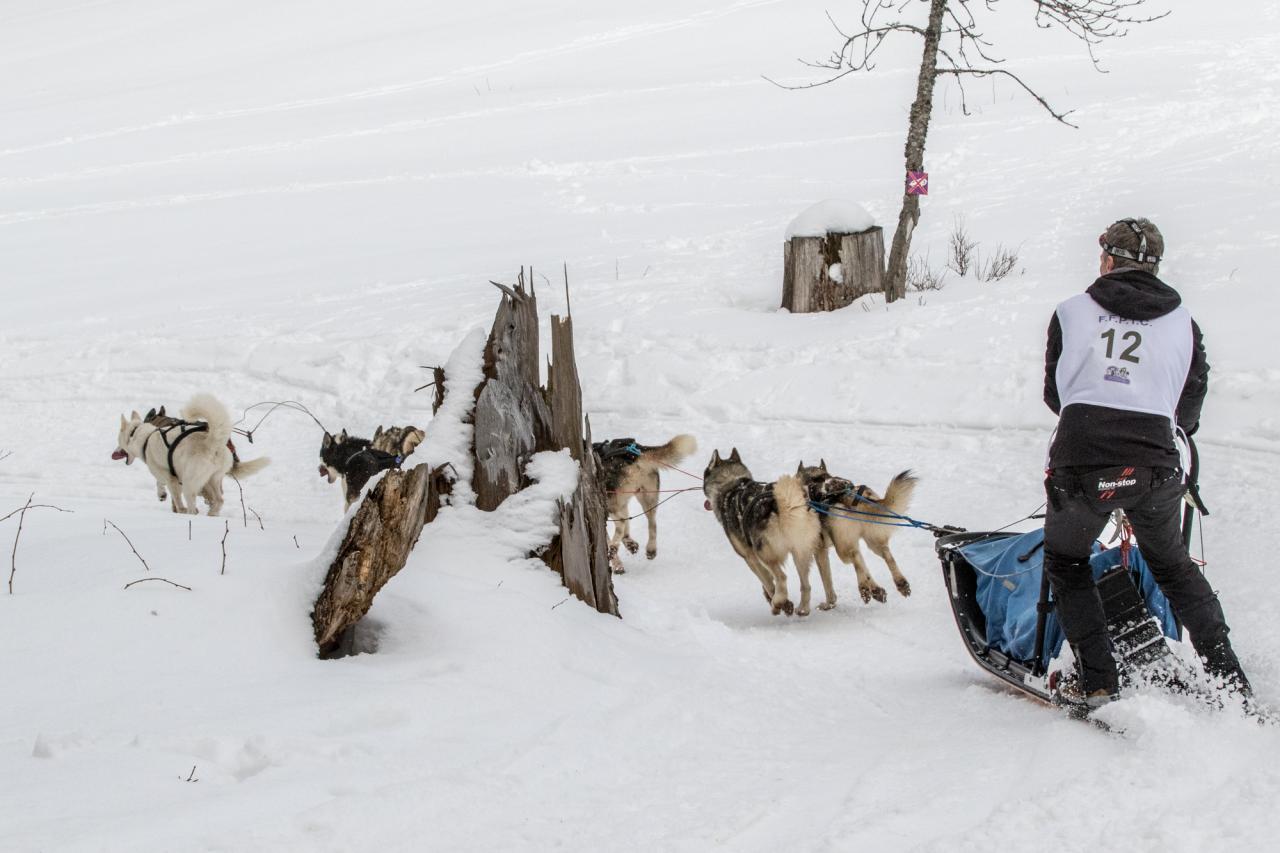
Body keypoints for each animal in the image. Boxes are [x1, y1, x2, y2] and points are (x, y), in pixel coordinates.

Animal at [115, 389, 270, 512]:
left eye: (118, 441)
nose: (115, 452)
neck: (146, 437)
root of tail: (212, 443)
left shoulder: (170, 477)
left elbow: (172, 495)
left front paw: (172, 503)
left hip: (189, 483)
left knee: (193, 506)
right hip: (212, 479)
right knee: (218, 500)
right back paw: (211, 513)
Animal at [591, 432, 696, 571]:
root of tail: (635, 452)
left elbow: (616, 533)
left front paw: (616, 563)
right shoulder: (622, 504)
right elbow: (627, 530)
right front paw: (630, 544)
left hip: (610, 503)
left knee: (622, 522)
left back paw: (614, 548)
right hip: (647, 498)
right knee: (652, 523)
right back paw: (651, 549)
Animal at [706, 448, 824, 614]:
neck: (733, 484)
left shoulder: (750, 557)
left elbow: (766, 580)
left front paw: (776, 599)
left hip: (764, 553)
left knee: (781, 577)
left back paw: (777, 602)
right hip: (801, 553)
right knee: (806, 585)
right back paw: (803, 608)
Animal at [793, 458, 916, 604]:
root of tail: (847, 494)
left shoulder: (820, 551)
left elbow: (828, 582)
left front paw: (829, 604)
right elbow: (866, 568)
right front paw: (876, 590)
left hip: (842, 549)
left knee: (855, 558)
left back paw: (863, 588)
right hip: (871, 541)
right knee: (885, 556)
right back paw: (900, 583)